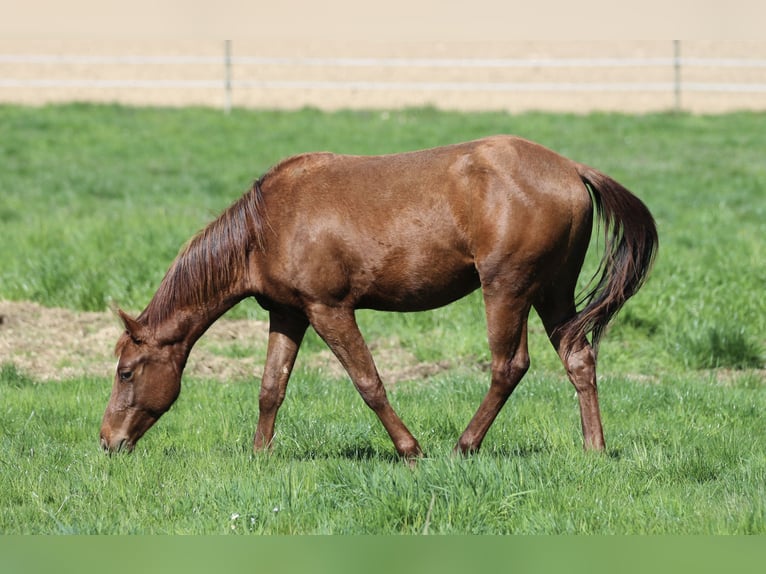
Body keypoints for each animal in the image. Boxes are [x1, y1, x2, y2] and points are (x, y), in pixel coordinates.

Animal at [100, 135, 657, 458]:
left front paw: (409, 449)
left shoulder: (329, 310)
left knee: (509, 366)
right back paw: (593, 449)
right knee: (578, 358)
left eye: (126, 372)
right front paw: (259, 456)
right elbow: (270, 388)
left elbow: (369, 383)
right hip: (553, 292)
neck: (266, 226)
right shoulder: (288, 313)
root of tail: (571, 169)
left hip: (508, 289)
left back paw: (465, 444)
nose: (107, 441)